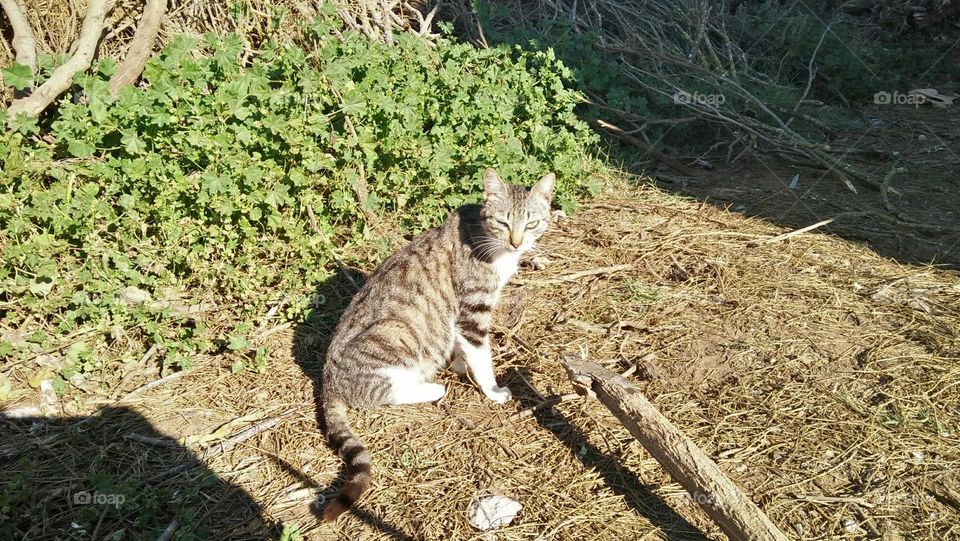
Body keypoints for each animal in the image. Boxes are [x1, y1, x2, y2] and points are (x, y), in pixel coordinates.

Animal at [320, 169, 556, 520]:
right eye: (503, 222)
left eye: (531, 223)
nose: (517, 243)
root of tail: (327, 380)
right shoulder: (473, 309)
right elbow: (481, 356)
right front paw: (492, 390)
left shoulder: (460, 317)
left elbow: (462, 346)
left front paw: (458, 364)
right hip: (396, 331)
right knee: (380, 392)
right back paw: (432, 387)